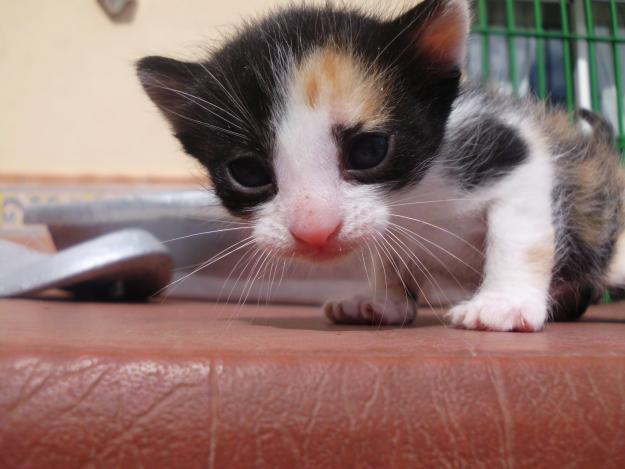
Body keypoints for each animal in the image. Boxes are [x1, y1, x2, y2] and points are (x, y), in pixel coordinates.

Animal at [135, 0, 624, 330]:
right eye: (249, 172)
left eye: (369, 151)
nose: (314, 230)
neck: (417, 197)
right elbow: (381, 250)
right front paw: (382, 301)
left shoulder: (511, 149)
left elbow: (521, 235)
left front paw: (503, 303)